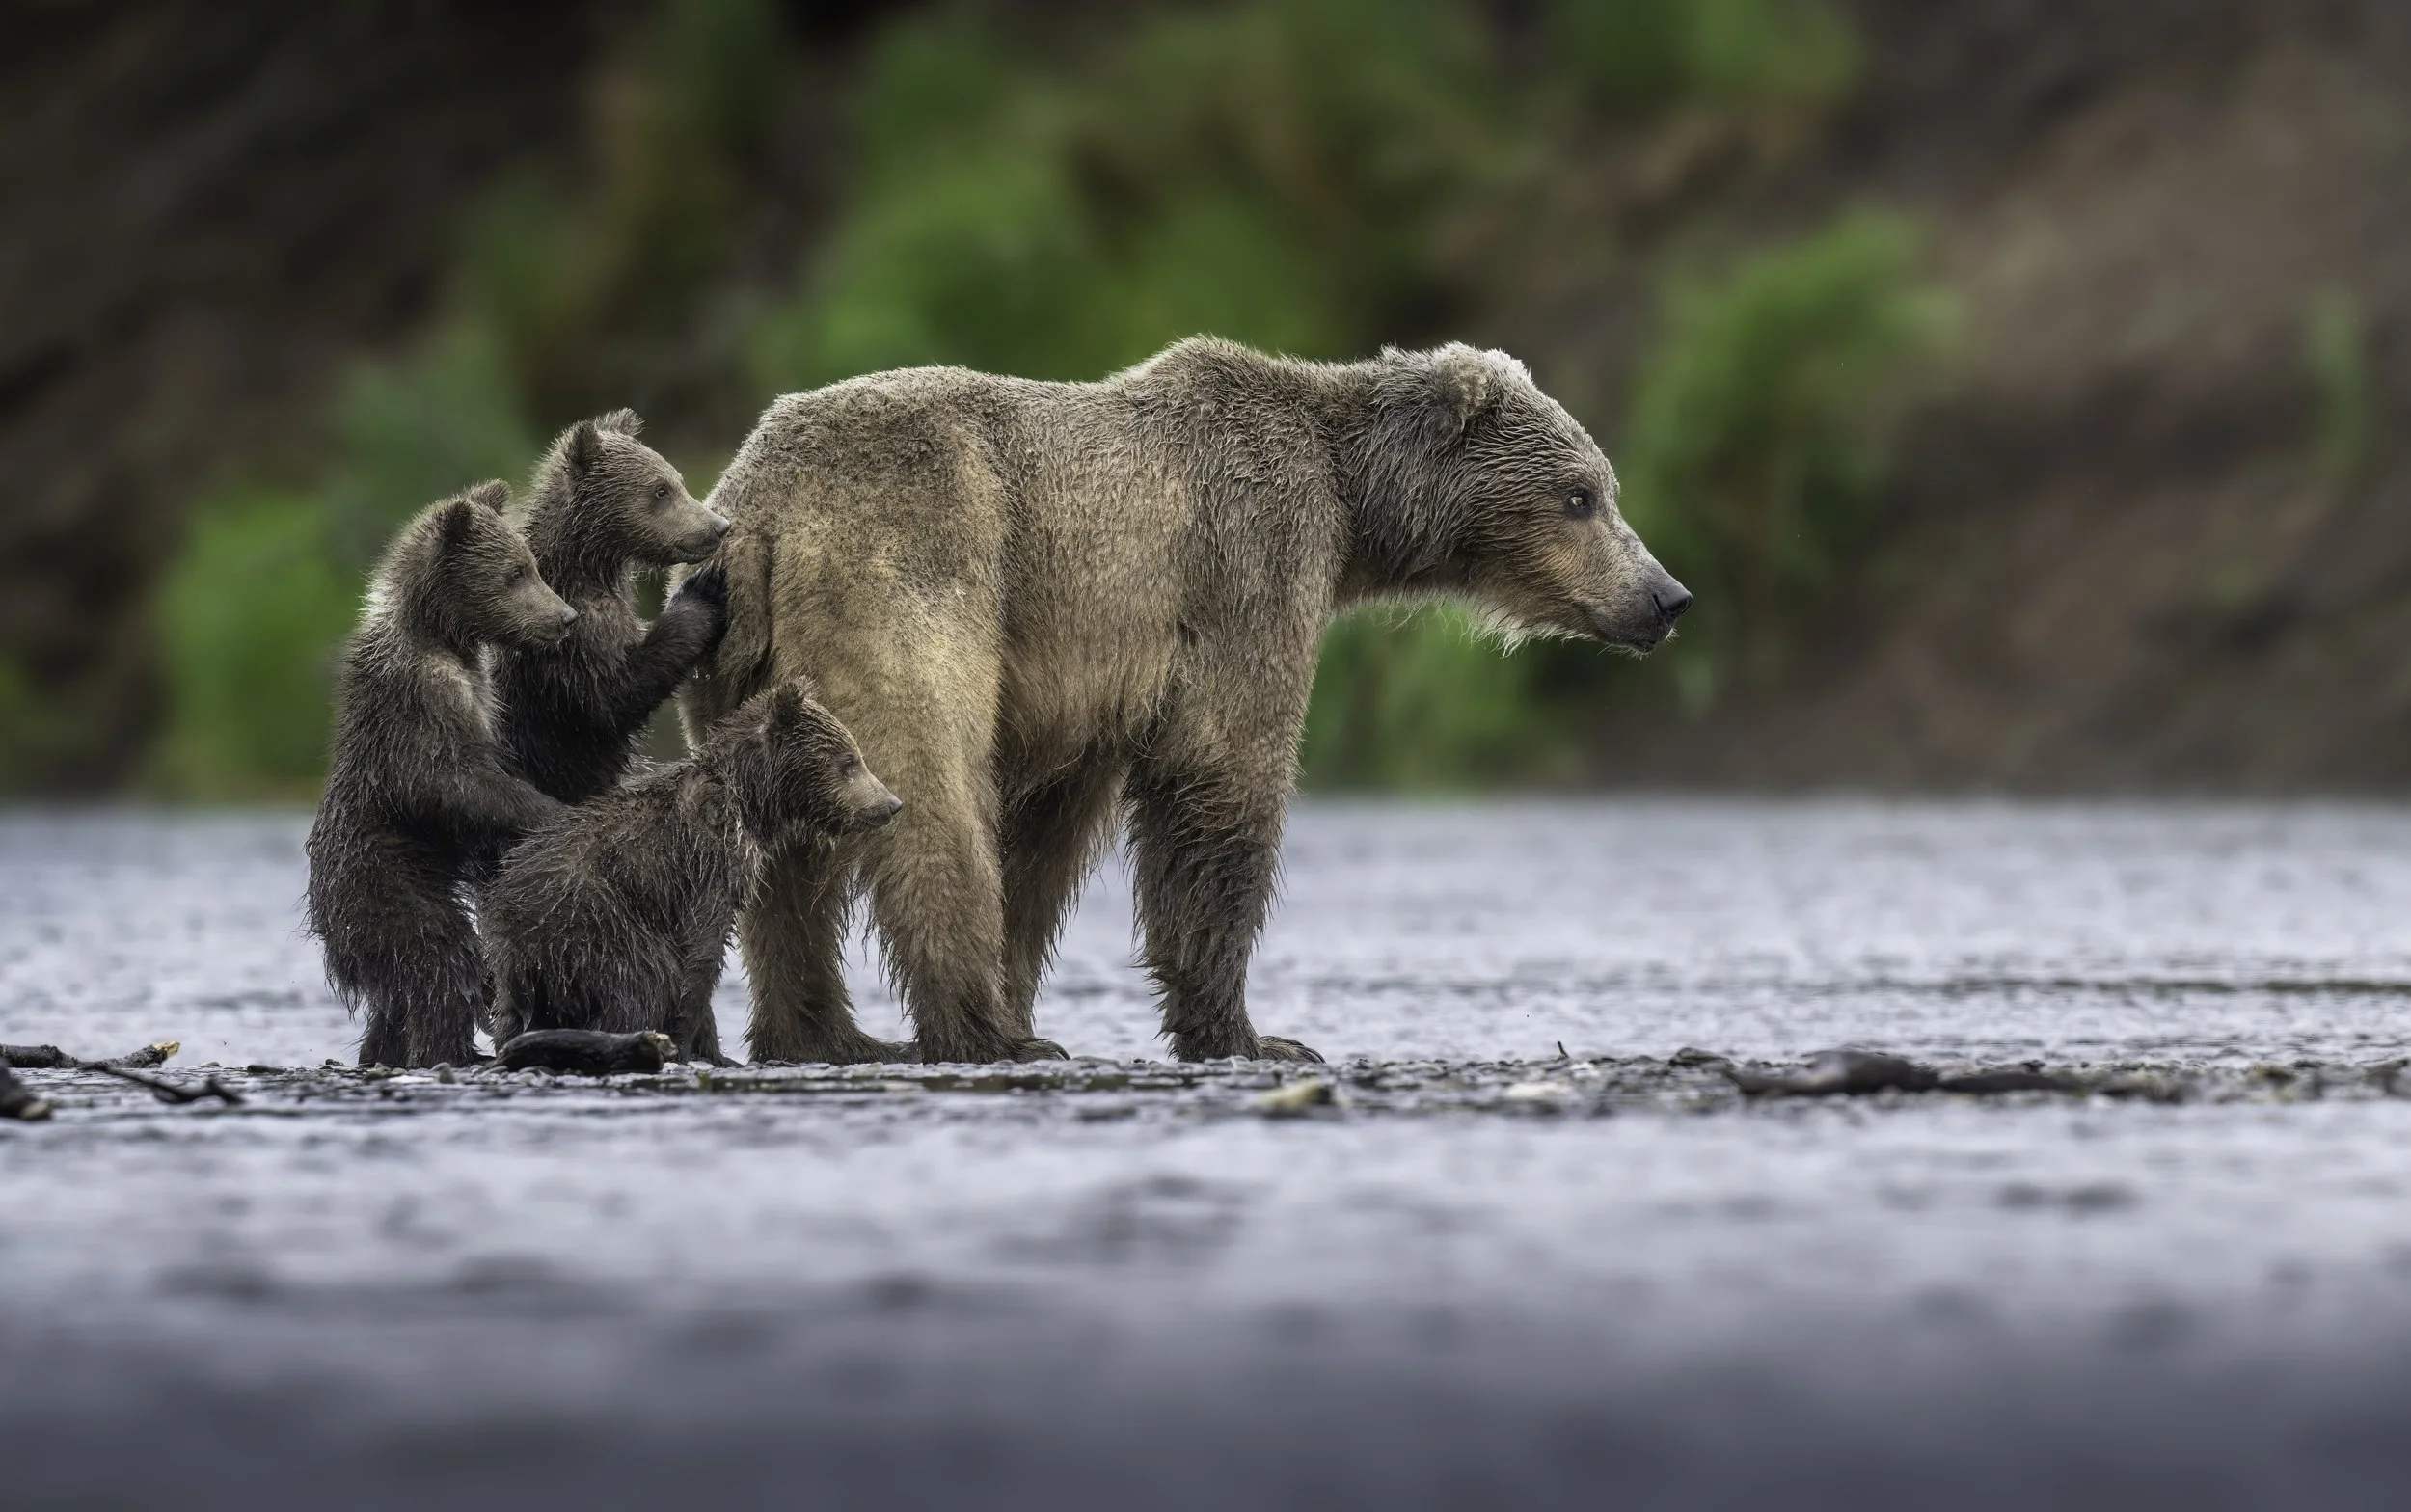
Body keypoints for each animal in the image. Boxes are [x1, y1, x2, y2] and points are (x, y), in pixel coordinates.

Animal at [305, 481, 579, 1068]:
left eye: (531, 565)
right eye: (515, 573)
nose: (565, 617)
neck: (441, 636)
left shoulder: (483, 692)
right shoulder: (417, 701)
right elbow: (446, 783)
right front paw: (550, 808)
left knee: (397, 999)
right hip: (383, 885)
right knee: (439, 964)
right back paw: (445, 1047)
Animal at [481, 680, 902, 1063]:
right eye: (849, 760)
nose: (891, 804)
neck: (750, 800)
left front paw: (713, 1052)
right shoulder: (709, 861)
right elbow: (699, 956)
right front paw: (687, 1045)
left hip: (513, 967)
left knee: (511, 1017)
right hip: (594, 924)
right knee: (643, 981)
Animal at [494, 408, 733, 806]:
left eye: (677, 480)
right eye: (660, 489)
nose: (719, 526)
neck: (586, 571)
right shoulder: (565, 648)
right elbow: (614, 696)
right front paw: (701, 592)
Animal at [683, 338, 1691, 1066]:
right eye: (1580, 495)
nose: (1667, 596)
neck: (1354, 508)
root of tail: (760, 513)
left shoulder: (1082, 687)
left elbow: (1044, 839)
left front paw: (1032, 978)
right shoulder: (1246, 566)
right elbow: (1222, 777)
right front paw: (1252, 1033)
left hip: (735, 666)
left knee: (784, 840)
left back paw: (823, 1034)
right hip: (915, 573)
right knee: (930, 795)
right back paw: (982, 1034)